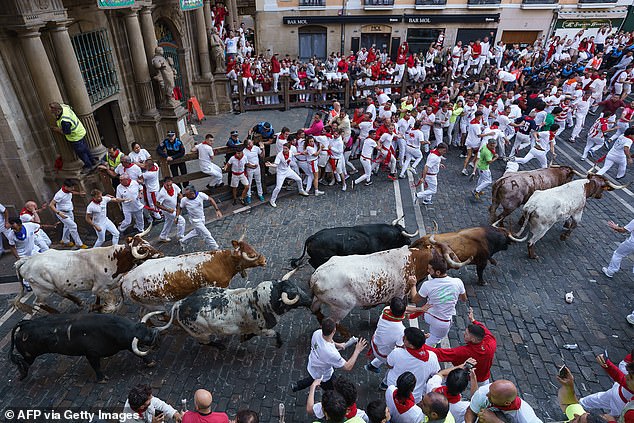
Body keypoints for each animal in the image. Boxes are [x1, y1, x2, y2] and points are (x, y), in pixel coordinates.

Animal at [8, 314, 159, 382]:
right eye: (144, 339)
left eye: (147, 328)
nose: (156, 333)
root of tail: (25, 324)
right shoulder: (91, 354)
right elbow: (96, 367)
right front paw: (102, 379)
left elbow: (139, 353)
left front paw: (150, 362)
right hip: (29, 355)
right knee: (23, 362)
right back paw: (21, 375)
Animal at [118, 238, 264, 308]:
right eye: (251, 255)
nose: (264, 259)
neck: (222, 262)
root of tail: (126, 277)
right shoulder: (220, 286)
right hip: (153, 304)